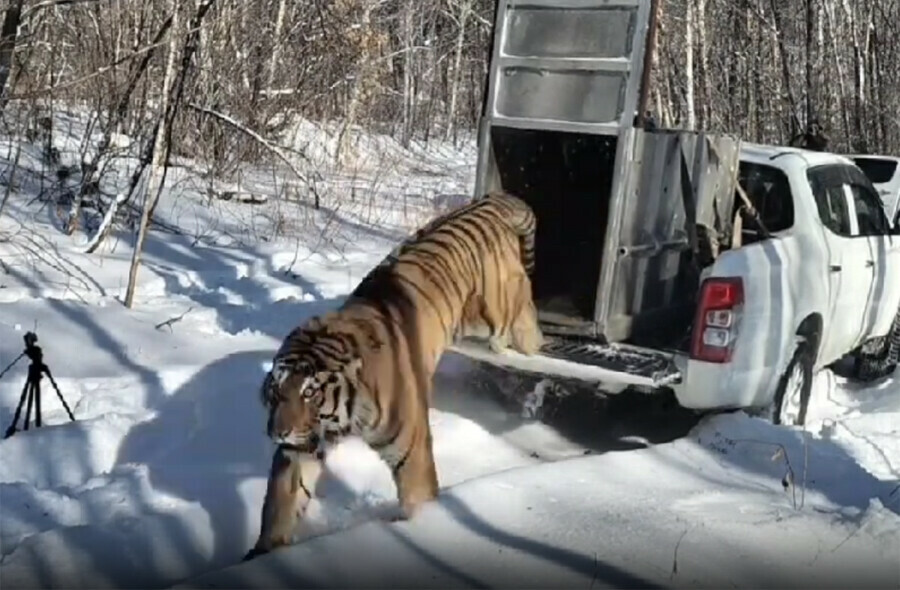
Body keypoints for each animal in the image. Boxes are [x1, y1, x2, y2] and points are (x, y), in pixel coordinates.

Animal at [239, 192, 544, 560]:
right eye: (276, 391)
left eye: (309, 393)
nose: (278, 433)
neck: (344, 418)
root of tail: (492, 200)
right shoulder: (300, 449)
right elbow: (281, 504)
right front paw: (261, 555)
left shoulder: (411, 448)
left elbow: (417, 497)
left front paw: (421, 528)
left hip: (498, 315)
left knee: (525, 318)